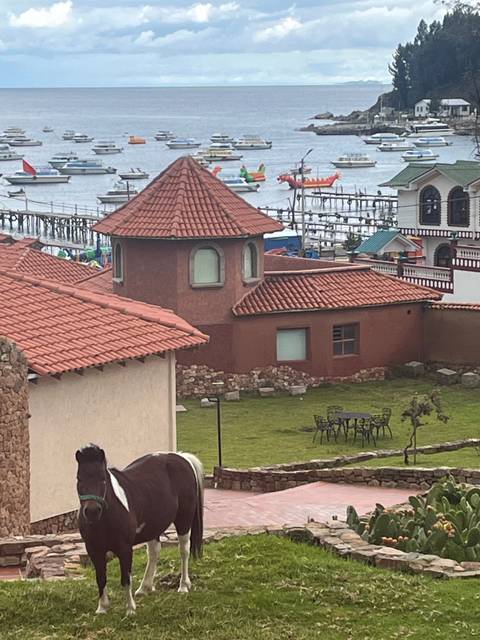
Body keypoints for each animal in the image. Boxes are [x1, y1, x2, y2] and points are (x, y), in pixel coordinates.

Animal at [75, 444, 204, 616]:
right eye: (79, 479)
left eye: (102, 479)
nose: (92, 511)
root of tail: (182, 457)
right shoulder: (93, 550)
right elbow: (100, 578)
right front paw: (102, 608)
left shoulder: (125, 549)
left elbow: (126, 578)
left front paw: (130, 609)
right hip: (153, 526)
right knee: (154, 552)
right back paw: (144, 588)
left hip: (184, 520)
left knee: (184, 550)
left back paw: (183, 586)